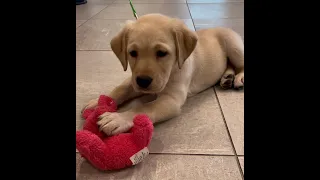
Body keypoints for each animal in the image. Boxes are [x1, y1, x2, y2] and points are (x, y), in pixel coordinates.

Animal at [84, 13, 244, 136]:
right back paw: (227, 78)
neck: (172, 70)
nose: (143, 81)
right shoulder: (133, 79)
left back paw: (238, 78)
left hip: (234, 46)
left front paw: (118, 119)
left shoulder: (171, 100)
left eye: (162, 53)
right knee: (229, 65)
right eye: (133, 53)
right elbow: (120, 89)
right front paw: (98, 102)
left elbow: (144, 107)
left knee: (240, 64)